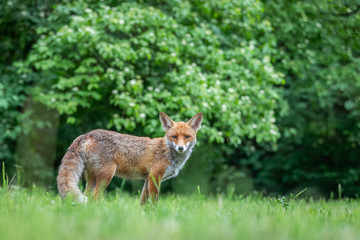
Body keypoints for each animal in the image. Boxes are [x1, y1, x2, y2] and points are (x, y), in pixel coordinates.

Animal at [56, 112, 202, 204]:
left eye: (187, 136)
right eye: (174, 137)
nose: (181, 148)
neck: (168, 151)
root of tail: (87, 134)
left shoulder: (147, 179)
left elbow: (143, 203)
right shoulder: (155, 176)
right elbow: (154, 201)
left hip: (91, 178)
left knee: (86, 195)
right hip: (106, 176)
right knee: (94, 197)